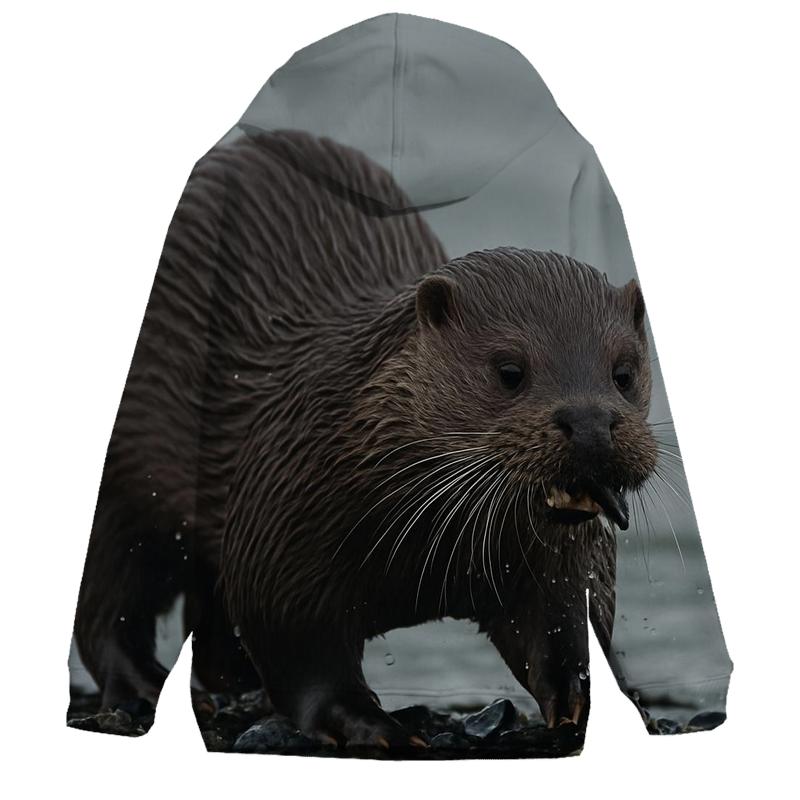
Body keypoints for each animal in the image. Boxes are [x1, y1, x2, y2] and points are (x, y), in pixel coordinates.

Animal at [71, 129, 657, 749]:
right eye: (509, 371)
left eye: (623, 372)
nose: (590, 423)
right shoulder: (279, 524)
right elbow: (298, 647)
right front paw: (372, 725)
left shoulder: (556, 561)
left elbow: (562, 622)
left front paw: (578, 701)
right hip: (129, 476)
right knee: (109, 599)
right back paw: (139, 686)